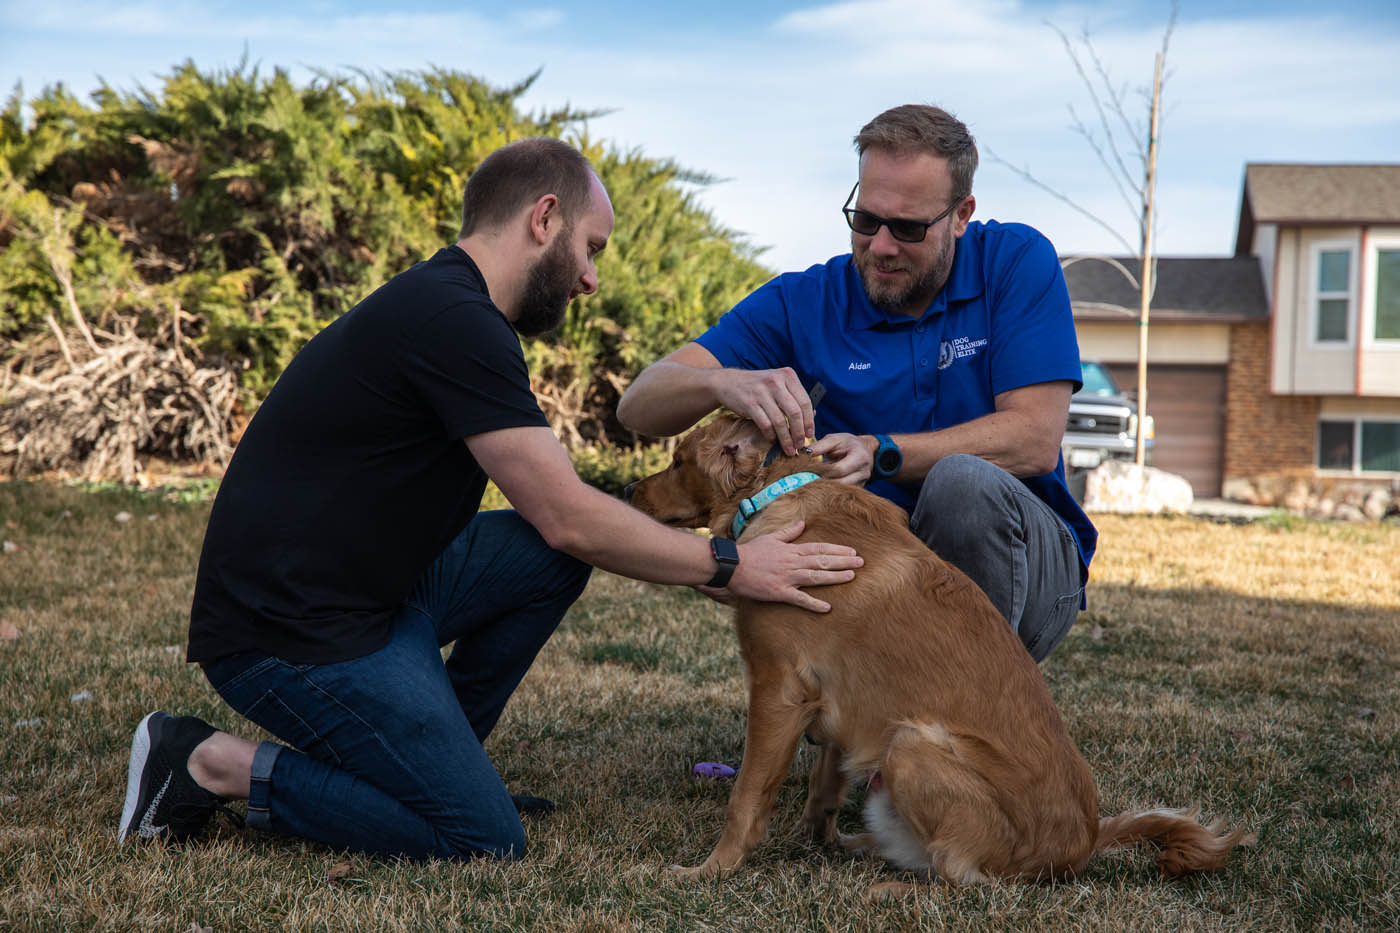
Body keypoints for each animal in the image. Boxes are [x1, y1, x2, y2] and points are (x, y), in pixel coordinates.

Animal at [630, 414, 1254, 896]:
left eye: (677, 460)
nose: (630, 489)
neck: (781, 490)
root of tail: (1085, 841)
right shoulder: (837, 703)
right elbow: (825, 786)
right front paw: (817, 839)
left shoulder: (780, 689)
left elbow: (745, 799)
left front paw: (710, 871)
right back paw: (867, 848)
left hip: (913, 745)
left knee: (968, 882)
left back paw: (890, 888)